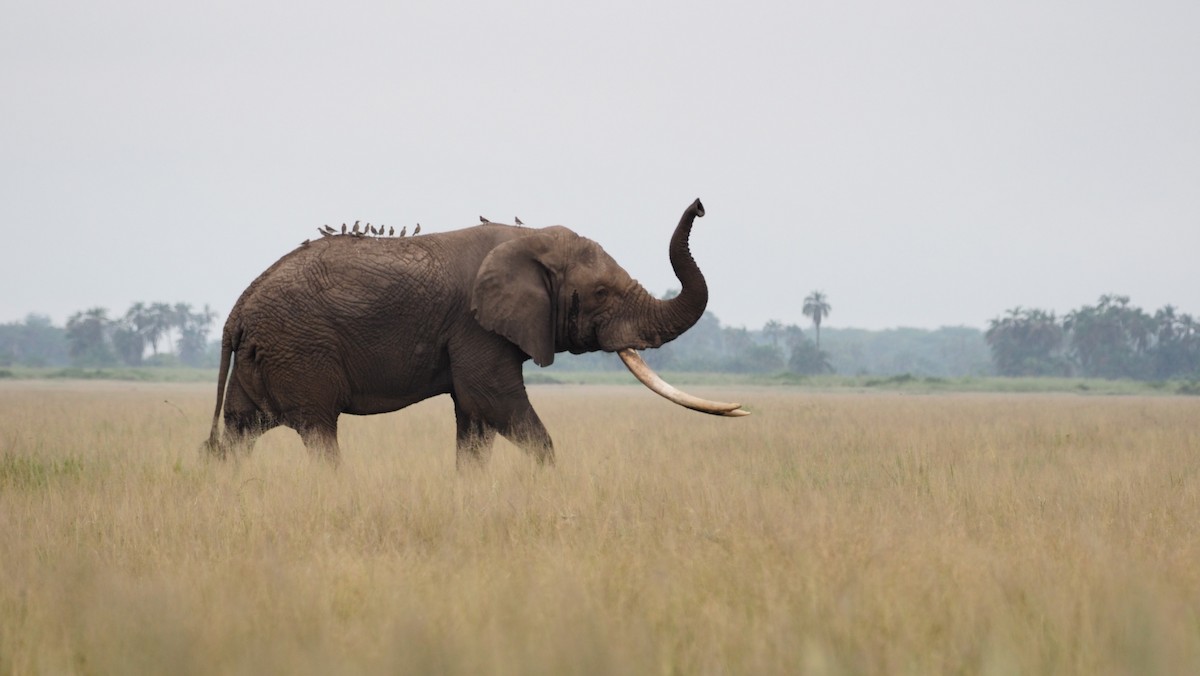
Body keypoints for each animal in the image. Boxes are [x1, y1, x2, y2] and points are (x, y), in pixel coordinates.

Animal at [207, 198, 748, 468]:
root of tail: (237, 311)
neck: (527, 236)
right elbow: (495, 401)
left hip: (267, 355)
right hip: (300, 348)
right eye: (599, 293)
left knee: (238, 430)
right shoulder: (475, 327)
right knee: (319, 432)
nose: (700, 205)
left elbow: (474, 420)